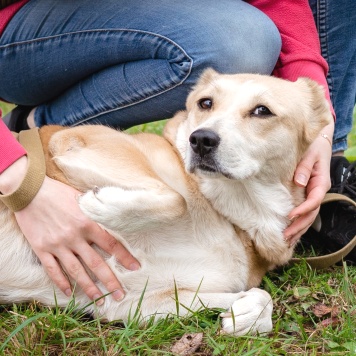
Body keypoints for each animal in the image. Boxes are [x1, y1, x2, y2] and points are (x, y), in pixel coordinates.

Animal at [0, 70, 330, 336]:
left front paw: (248, 314)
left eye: (262, 111)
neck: (229, 214)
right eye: (205, 103)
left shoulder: (130, 302)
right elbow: (176, 199)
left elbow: (262, 298)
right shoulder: (69, 141)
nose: (200, 140)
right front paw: (101, 204)